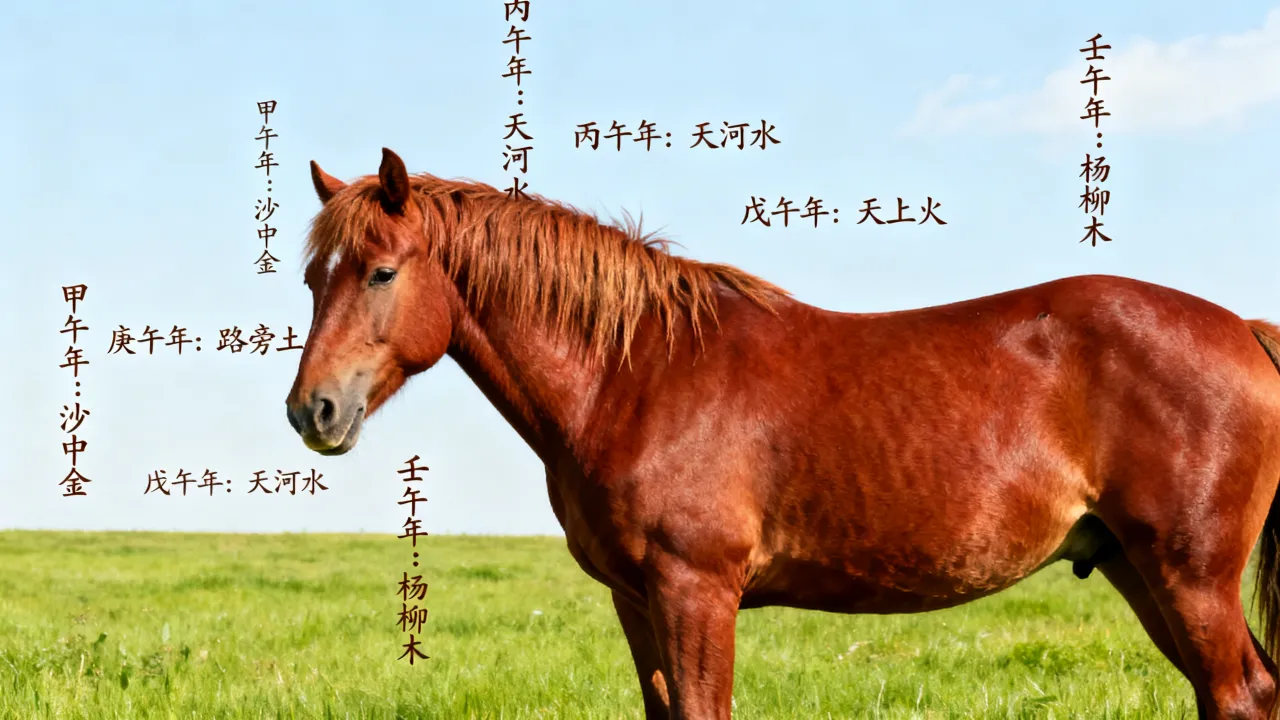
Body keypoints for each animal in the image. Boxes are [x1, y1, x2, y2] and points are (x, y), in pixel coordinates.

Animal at [284, 148, 1280, 719]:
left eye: (379, 272)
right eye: (311, 279)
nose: (311, 412)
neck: (634, 373)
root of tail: (1243, 329)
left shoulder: (696, 591)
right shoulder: (637, 600)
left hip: (1188, 574)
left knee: (1239, 695)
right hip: (1136, 567)